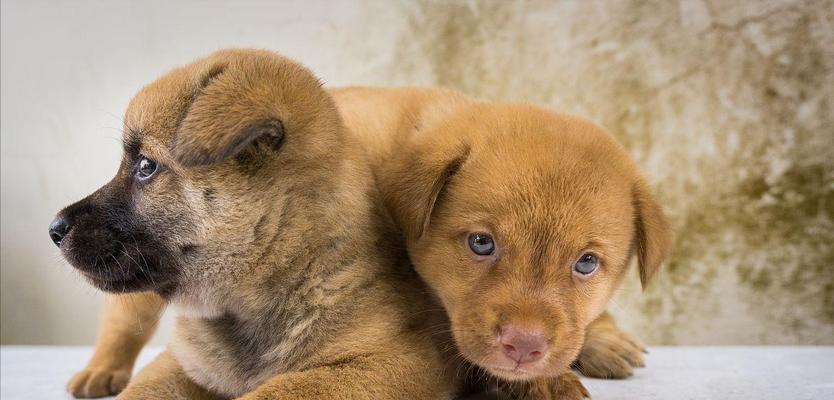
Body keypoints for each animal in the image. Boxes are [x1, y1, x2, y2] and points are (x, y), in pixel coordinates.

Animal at [52, 50, 452, 400]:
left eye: (146, 166)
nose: (54, 229)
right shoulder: (182, 361)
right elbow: (141, 390)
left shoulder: (389, 363)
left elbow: (274, 390)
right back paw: (99, 370)